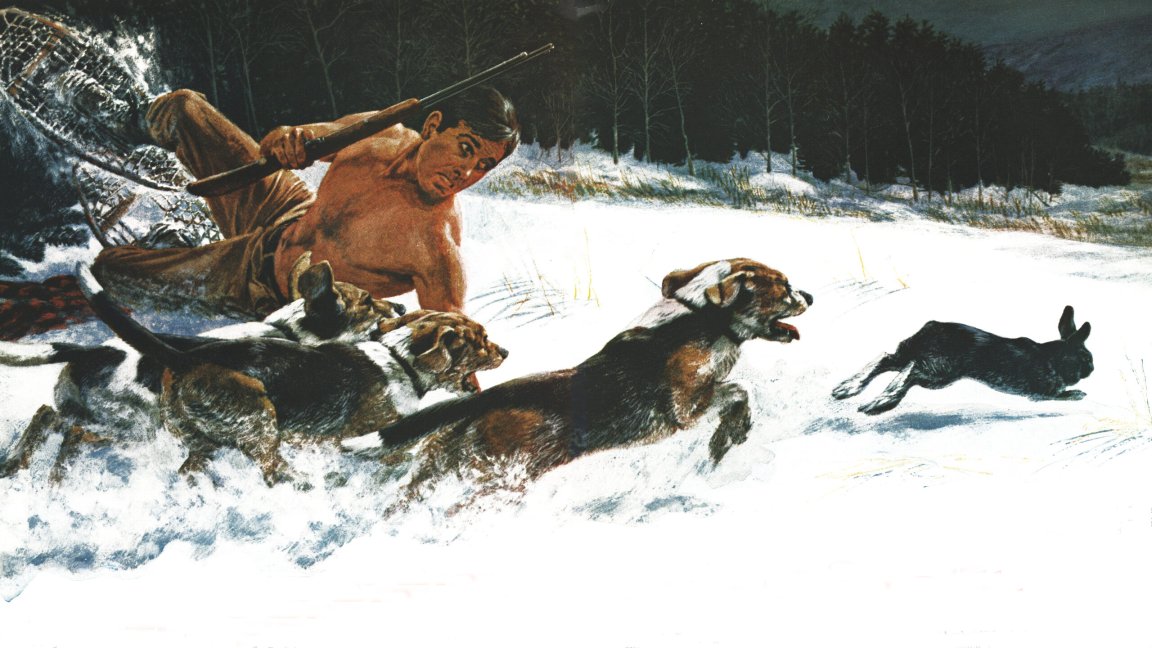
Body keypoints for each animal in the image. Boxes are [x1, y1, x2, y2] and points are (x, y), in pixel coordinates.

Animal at [832, 306, 1093, 415]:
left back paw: (847, 389)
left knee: (887, 359)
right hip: (940, 372)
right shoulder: (1046, 392)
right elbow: (1064, 395)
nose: (1092, 368)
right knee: (909, 370)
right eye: (1085, 357)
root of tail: (930, 328)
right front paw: (1080, 394)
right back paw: (881, 402)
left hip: (919, 361)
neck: (1054, 357)